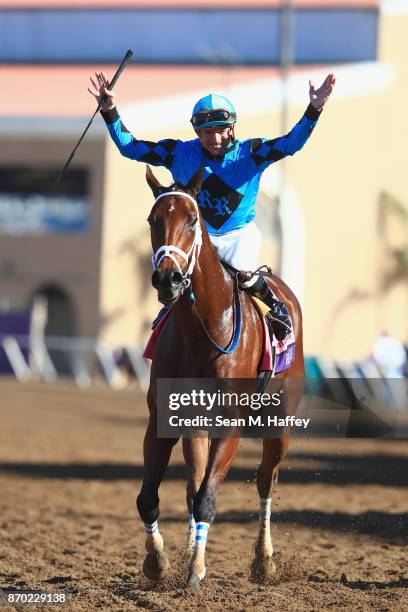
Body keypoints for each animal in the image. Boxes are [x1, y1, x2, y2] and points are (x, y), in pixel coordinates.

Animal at [135, 165, 304, 592]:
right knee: (193, 483)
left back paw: (264, 562)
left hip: (279, 425)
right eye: (152, 220)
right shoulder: (164, 418)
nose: (168, 279)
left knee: (266, 481)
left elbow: (208, 498)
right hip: (196, 426)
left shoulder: (231, 425)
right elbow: (151, 498)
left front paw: (195, 570)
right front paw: (159, 562)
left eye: (193, 220)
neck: (204, 325)